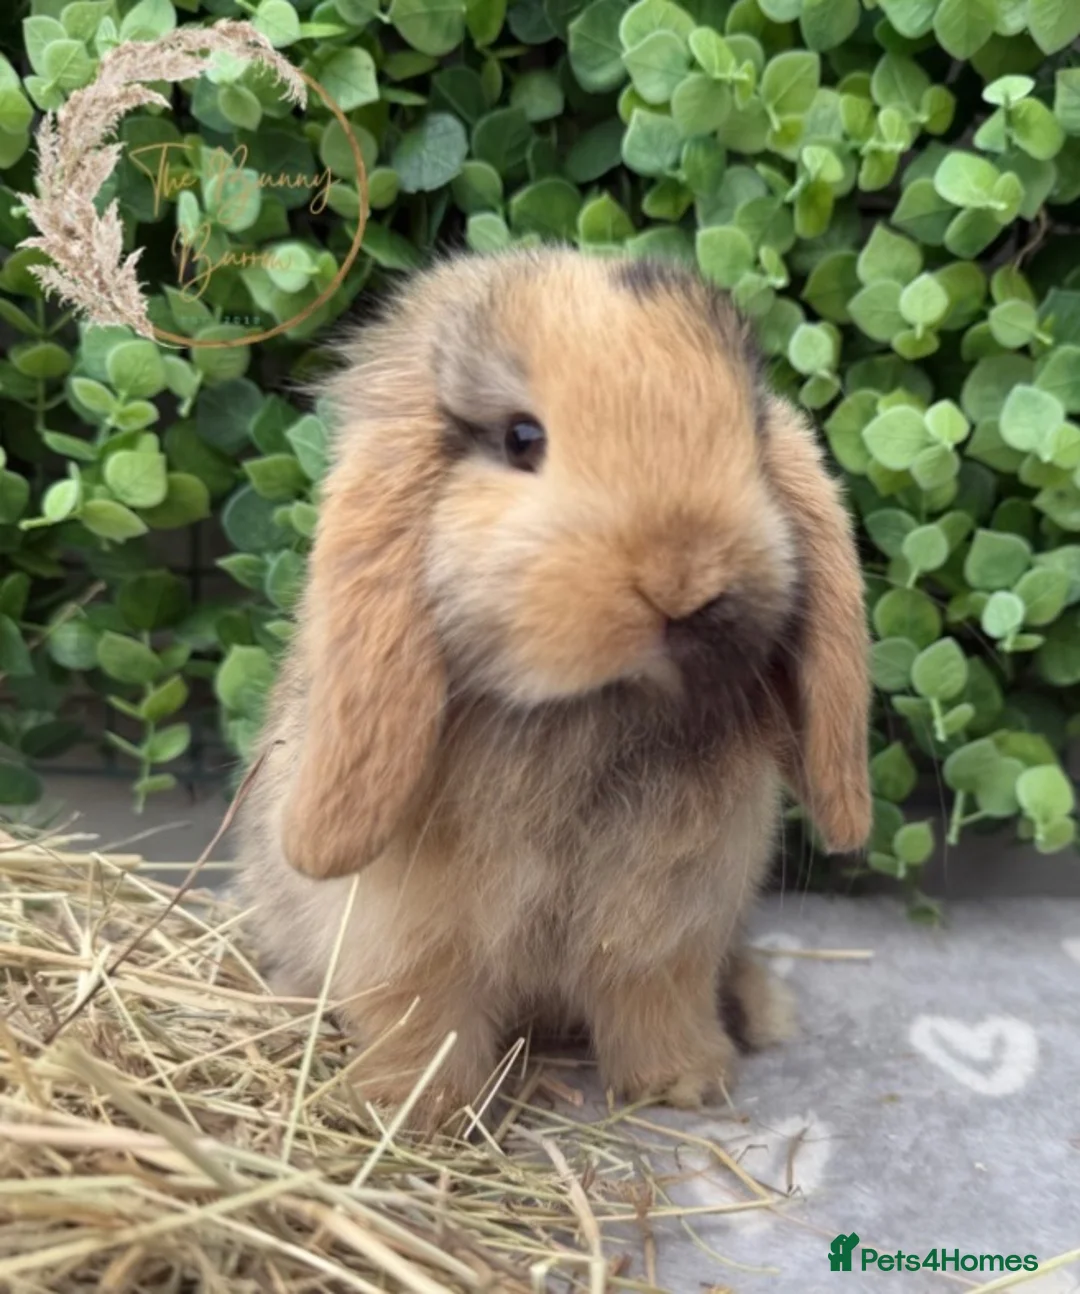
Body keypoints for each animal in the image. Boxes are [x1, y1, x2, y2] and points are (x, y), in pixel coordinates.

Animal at [233, 247, 872, 1131]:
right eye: (521, 438)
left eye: (746, 433)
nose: (683, 580)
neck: (592, 715)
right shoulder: (407, 936)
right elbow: (420, 1015)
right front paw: (415, 1113)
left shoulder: (666, 931)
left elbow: (656, 1003)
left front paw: (687, 1083)